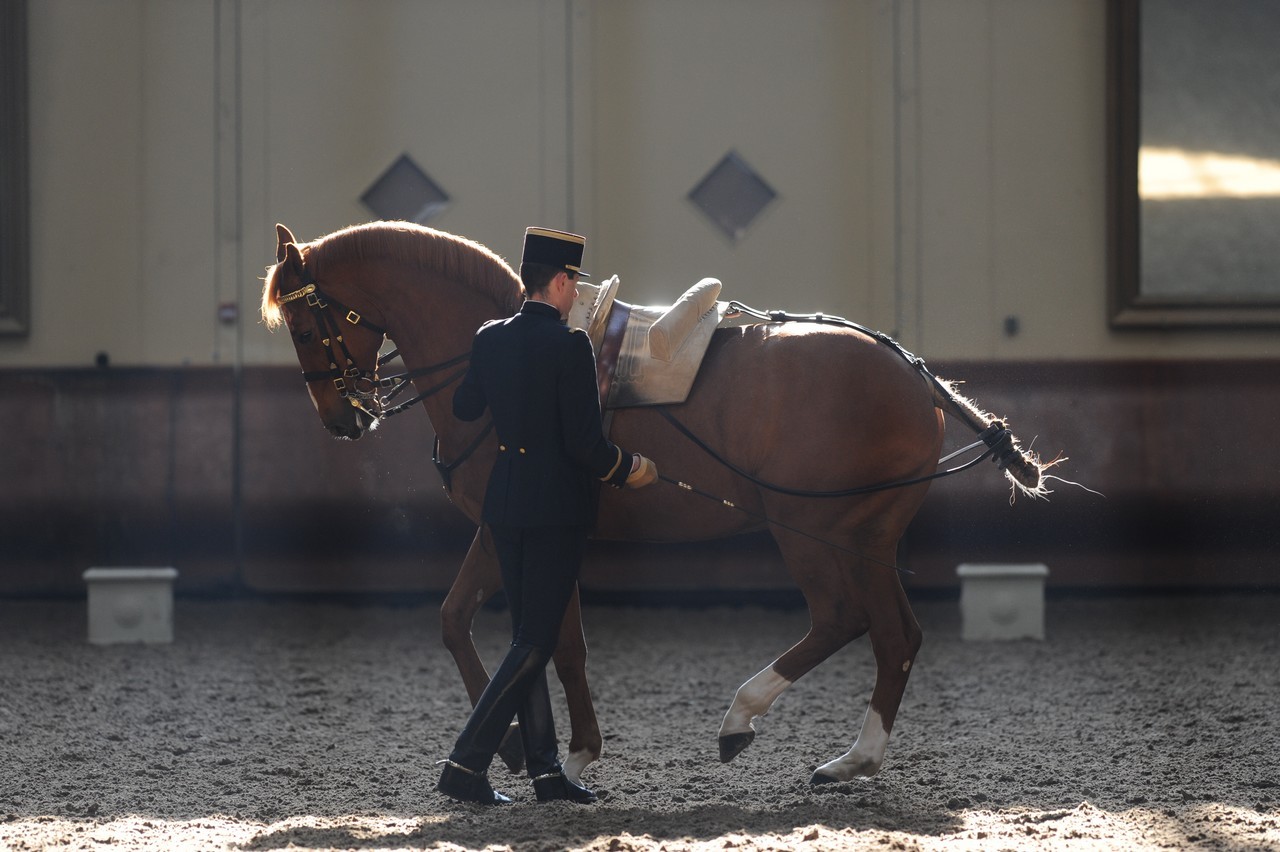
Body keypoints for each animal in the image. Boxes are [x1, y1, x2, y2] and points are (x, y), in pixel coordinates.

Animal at [261, 220, 1051, 786]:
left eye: (303, 326)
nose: (343, 419)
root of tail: (913, 372)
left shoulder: (507, 526)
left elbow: (474, 626)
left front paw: (523, 751)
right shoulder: (540, 534)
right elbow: (547, 640)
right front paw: (561, 751)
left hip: (813, 530)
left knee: (845, 619)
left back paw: (744, 717)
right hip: (867, 538)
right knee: (896, 637)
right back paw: (854, 759)